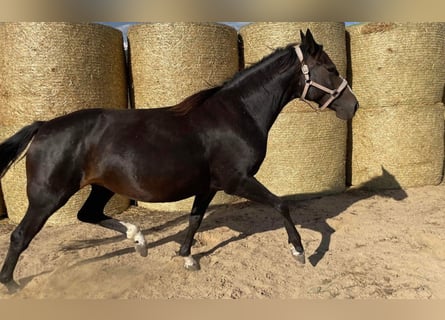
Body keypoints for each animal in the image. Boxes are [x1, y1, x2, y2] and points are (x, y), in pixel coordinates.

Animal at [0, 29, 358, 290]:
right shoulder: (237, 180)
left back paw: (139, 240)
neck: (237, 113)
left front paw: (187, 257)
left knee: (88, 215)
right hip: (48, 197)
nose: (353, 105)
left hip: (100, 187)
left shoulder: (209, 185)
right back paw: (11, 284)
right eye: (331, 69)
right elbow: (281, 204)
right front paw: (300, 252)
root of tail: (44, 126)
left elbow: (195, 219)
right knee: (20, 236)